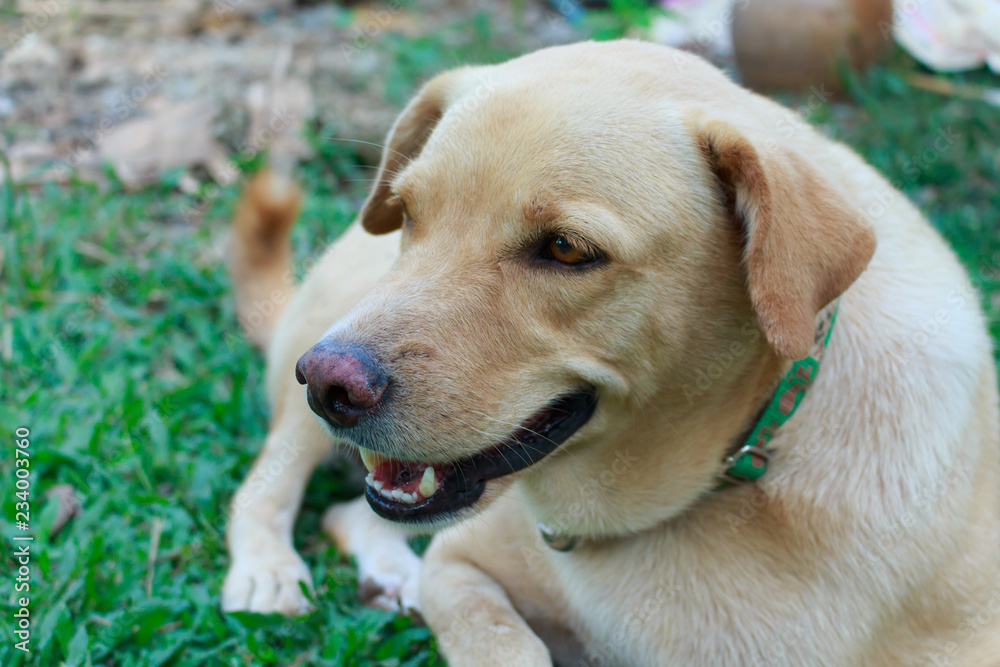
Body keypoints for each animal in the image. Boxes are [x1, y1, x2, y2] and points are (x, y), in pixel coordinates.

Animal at [221, 39, 1000, 664]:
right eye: (409, 213)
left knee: (349, 512)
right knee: (270, 485)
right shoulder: (461, 567)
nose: (328, 385)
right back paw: (269, 570)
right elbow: (506, 645)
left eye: (567, 249)